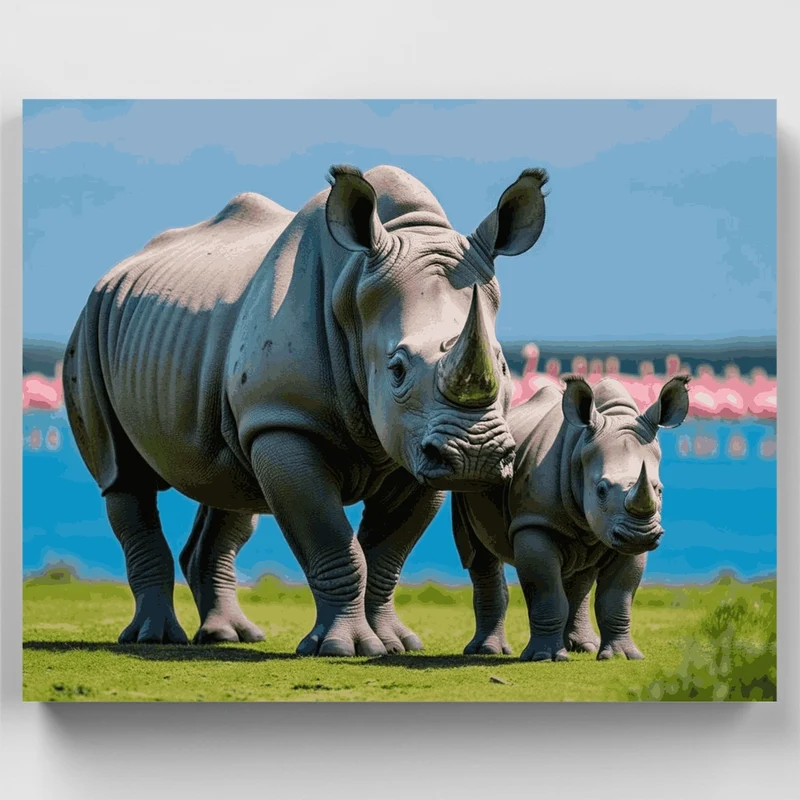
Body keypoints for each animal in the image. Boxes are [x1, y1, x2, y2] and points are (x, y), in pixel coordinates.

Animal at [63, 164, 549, 656]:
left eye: (502, 366)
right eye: (396, 369)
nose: (475, 455)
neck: (355, 286)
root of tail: (117, 270)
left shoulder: (413, 447)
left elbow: (386, 555)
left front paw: (394, 644)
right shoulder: (286, 422)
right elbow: (333, 541)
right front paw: (345, 647)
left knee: (230, 486)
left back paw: (229, 635)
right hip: (91, 325)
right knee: (124, 476)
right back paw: (157, 637)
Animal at [452, 374, 690, 661]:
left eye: (659, 489)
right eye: (601, 490)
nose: (639, 536)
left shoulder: (625, 535)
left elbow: (617, 598)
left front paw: (620, 656)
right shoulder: (535, 522)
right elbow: (546, 591)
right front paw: (545, 657)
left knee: (581, 574)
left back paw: (583, 646)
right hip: (469, 470)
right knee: (478, 552)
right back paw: (486, 650)